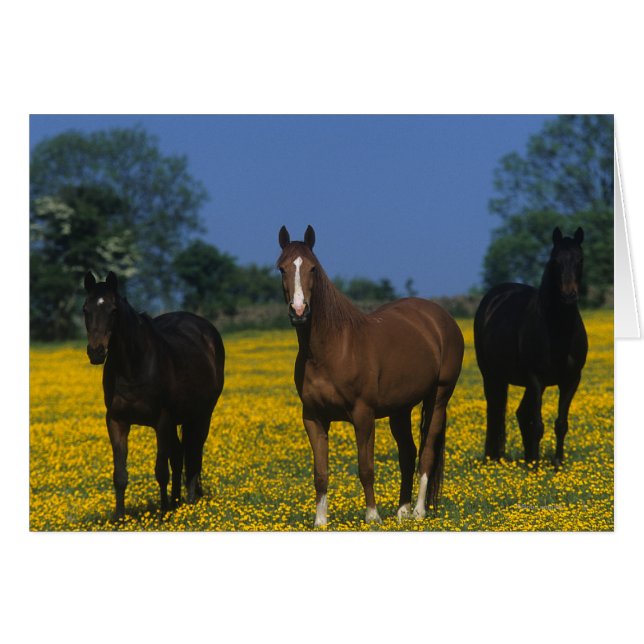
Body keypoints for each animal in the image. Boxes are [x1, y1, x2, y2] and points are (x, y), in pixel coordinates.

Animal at [82, 271, 225, 520]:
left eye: (113, 310)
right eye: (85, 309)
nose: (96, 352)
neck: (133, 366)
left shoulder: (162, 420)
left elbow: (161, 470)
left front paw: (162, 513)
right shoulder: (117, 421)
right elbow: (120, 474)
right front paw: (119, 518)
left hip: (201, 416)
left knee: (194, 455)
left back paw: (188, 501)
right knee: (179, 456)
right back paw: (177, 501)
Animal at [277, 226, 464, 526]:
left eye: (313, 268)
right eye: (281, 268)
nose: (299, 311)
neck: (330, 350)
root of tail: (439, 317)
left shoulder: (363, 414)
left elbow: (365, 467)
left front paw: (372, 516)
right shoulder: (314, 419)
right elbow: (320, 473)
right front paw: (320, 522)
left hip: (438, 398)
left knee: (426, 453)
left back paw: (419, 511)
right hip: (400, 408)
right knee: (408, 453)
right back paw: (402, 511)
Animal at [474, 227, 588, 467]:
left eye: (580, 260)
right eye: (555, 261)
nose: (569, 295)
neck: (558, 330)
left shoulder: (571, 380)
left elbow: (561, 424)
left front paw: (557, 464)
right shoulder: (536, 378)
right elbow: (538, 425)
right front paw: (535, 467)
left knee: (520, 413)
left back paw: (524, 458)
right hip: (492, 375)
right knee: (495, 411)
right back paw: (494, 458)